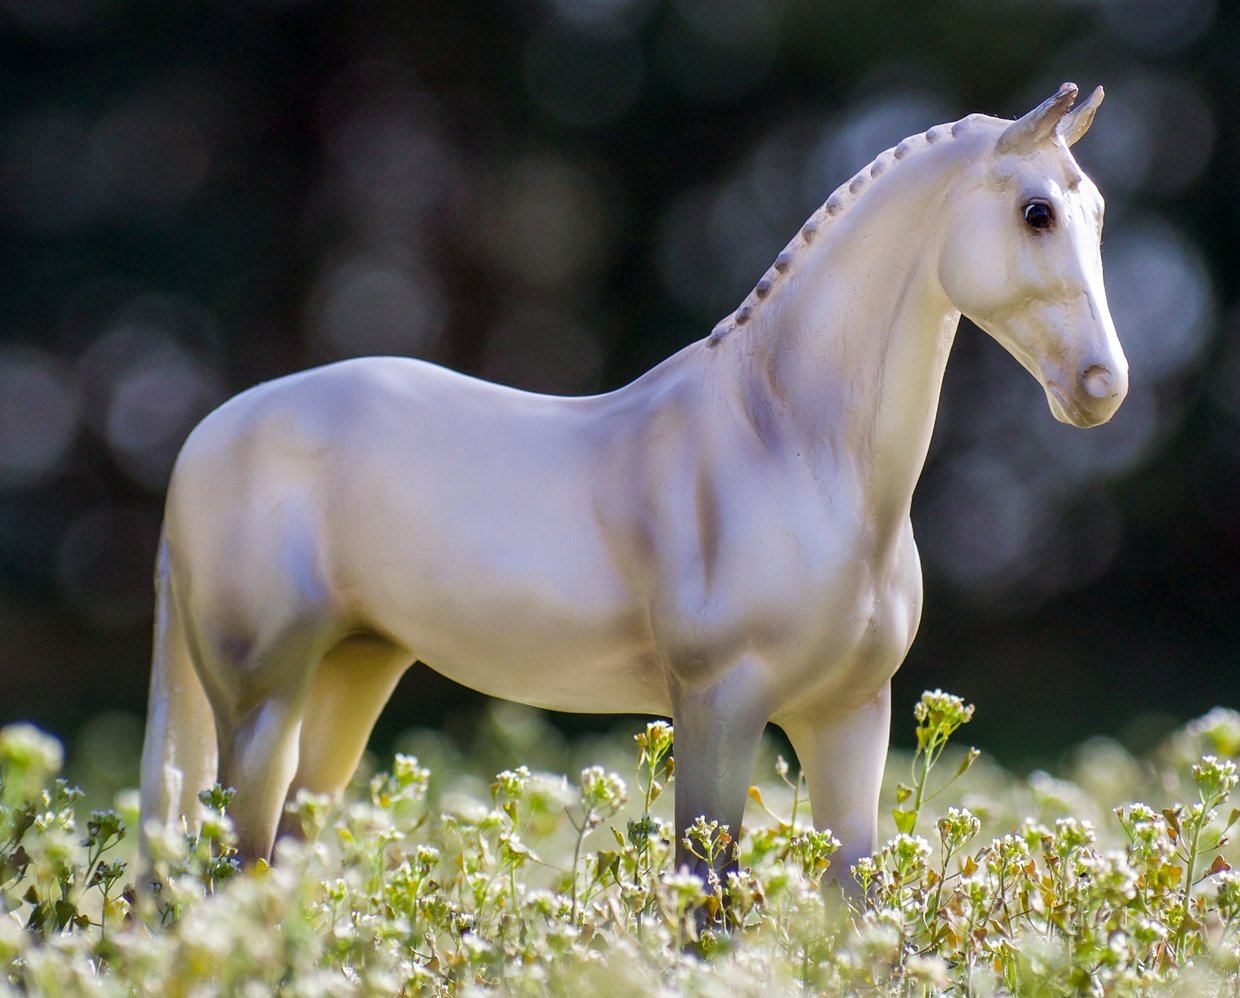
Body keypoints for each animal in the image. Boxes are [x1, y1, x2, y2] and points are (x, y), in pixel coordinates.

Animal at [140, 85, 1130, 877]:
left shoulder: (849, 714)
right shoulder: (719, 707)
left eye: (1098, 212)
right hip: (260, 701)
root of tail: (206, 437)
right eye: (1036, 212)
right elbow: (706, 903)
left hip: (355, 670)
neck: (791, 447)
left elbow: (856, 907)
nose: (1100, 387)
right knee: (231, 861)